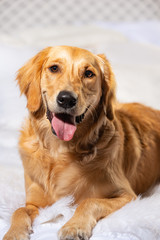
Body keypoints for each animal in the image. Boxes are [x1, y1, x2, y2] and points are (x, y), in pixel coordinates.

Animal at [3, 45, 160, 240]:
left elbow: (90, 201)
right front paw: (13, 233)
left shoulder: (127, 195)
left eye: (88, 73)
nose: (66, 99)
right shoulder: (34, 203)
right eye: (54, 68)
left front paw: (74, 226)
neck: (60, 151)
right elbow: (18, 211)